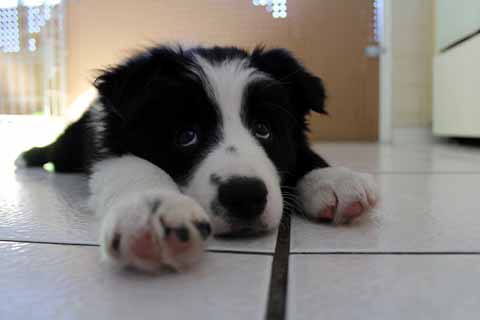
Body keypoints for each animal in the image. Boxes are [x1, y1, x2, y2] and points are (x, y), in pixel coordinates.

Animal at [15, 45, 378, 272]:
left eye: (263, 130)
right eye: (186, 135)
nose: (244, 196)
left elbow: (305, 154)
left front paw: (336, 181)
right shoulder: (113, 148)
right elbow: (136, 167)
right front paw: (154, 209)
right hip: (70, 144)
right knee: (55, 150)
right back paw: (26, 156)